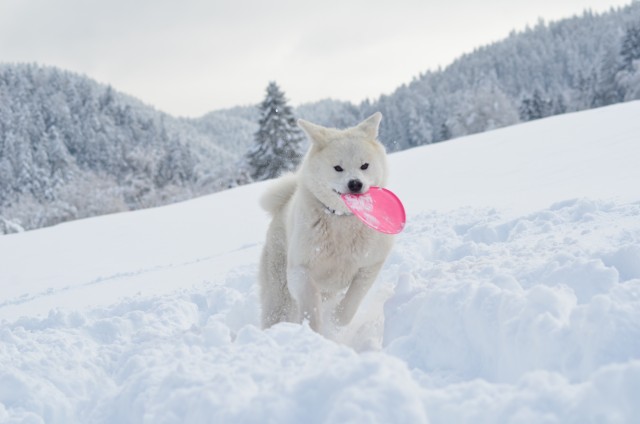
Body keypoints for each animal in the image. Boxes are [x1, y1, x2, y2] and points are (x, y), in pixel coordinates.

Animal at [258, 113, 392, 334]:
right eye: (338, 168)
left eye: (364, 165)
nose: (355, 184)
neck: (342, 220)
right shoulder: (298, 271)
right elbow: (310, 301)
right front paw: (314, 330)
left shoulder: (371, 264)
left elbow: (352, 300)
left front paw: (336, 321)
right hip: (279, 291)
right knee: (277, 313)